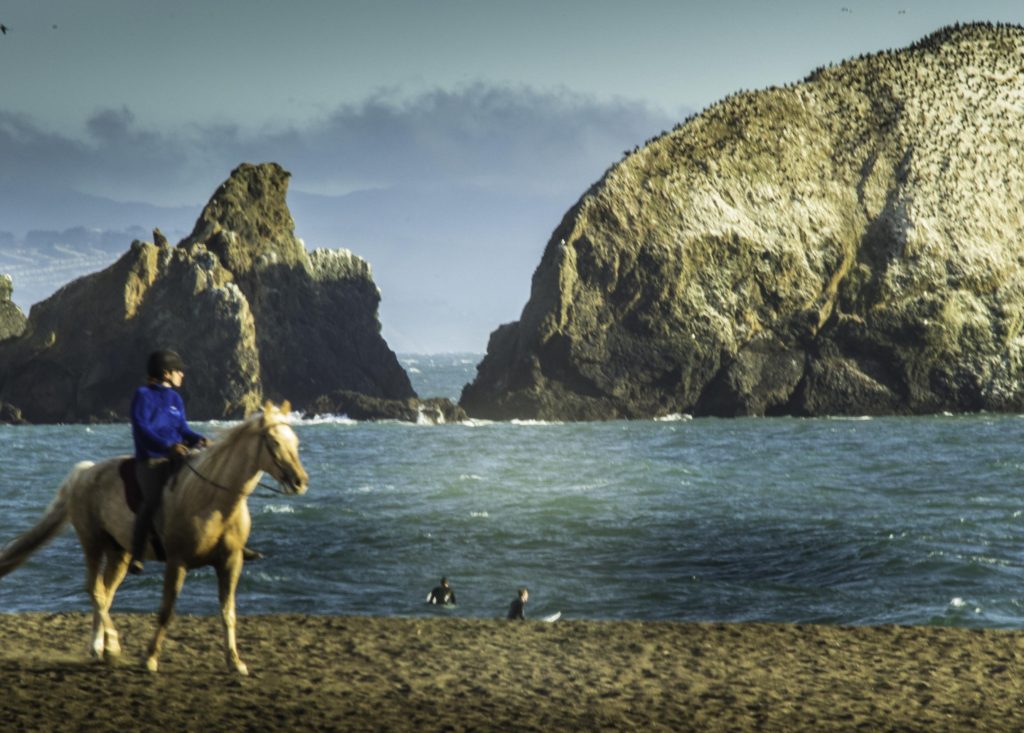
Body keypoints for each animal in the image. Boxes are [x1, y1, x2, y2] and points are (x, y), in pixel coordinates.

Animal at [0, 401, 307, 675]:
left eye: (296, 441)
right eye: (273, 441)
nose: (300, 482)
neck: (212, 501)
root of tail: (85, 472)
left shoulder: (231, 563)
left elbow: (228, 612)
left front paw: (235, 662)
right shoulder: (177, 562)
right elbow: (166, 611)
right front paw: (149, 658)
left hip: (120, 553)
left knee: (106, 593)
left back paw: (100, 648)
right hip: (93, 543)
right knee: (95, 590)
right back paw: (110, 645)